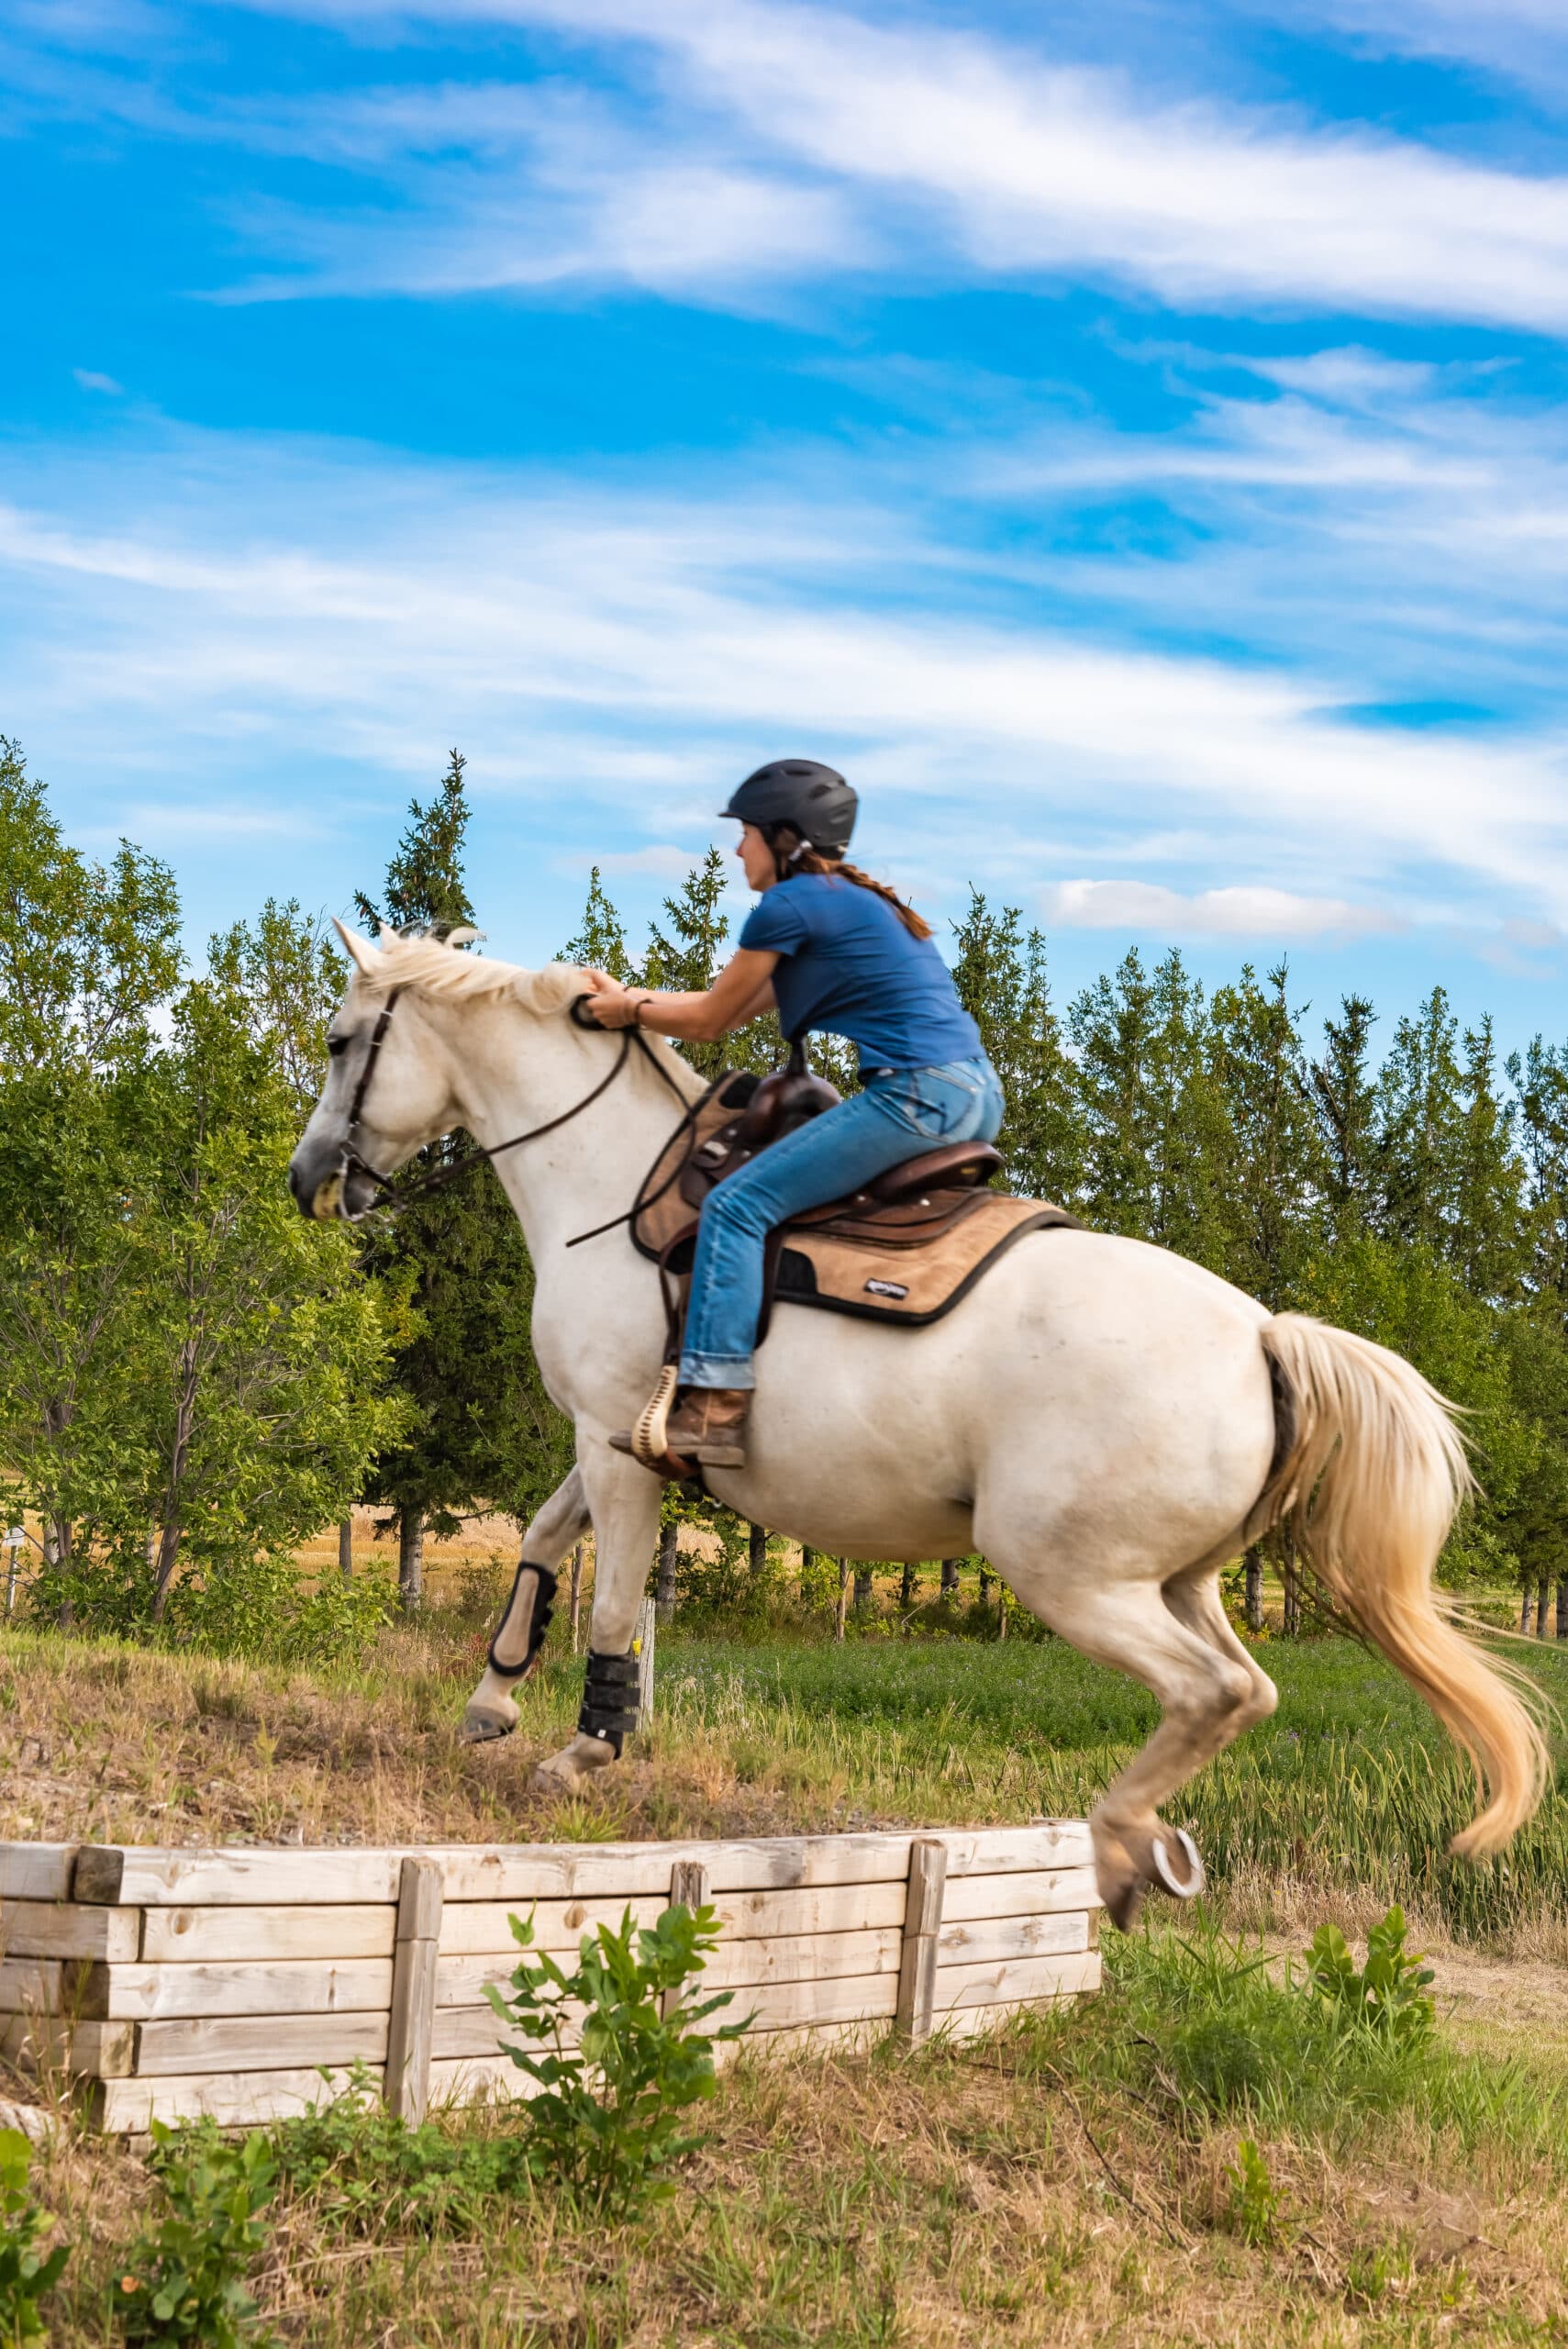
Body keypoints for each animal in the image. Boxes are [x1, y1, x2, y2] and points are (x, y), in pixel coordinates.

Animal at [287, 920, 1549, 1926]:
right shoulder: (614, 1441)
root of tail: (1259, 1334)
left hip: (1061, 1571)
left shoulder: (617, 1450)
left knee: (1214, 1693)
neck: (612, 1188)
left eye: (344, 1041)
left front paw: (584, 1747)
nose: (312, 1180)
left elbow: (606, 1601)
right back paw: (1146, 1846)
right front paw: (490, 1699)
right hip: (1176, 1579)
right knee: (1246, 1686)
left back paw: (1114, 1846)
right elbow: (544, 1544)